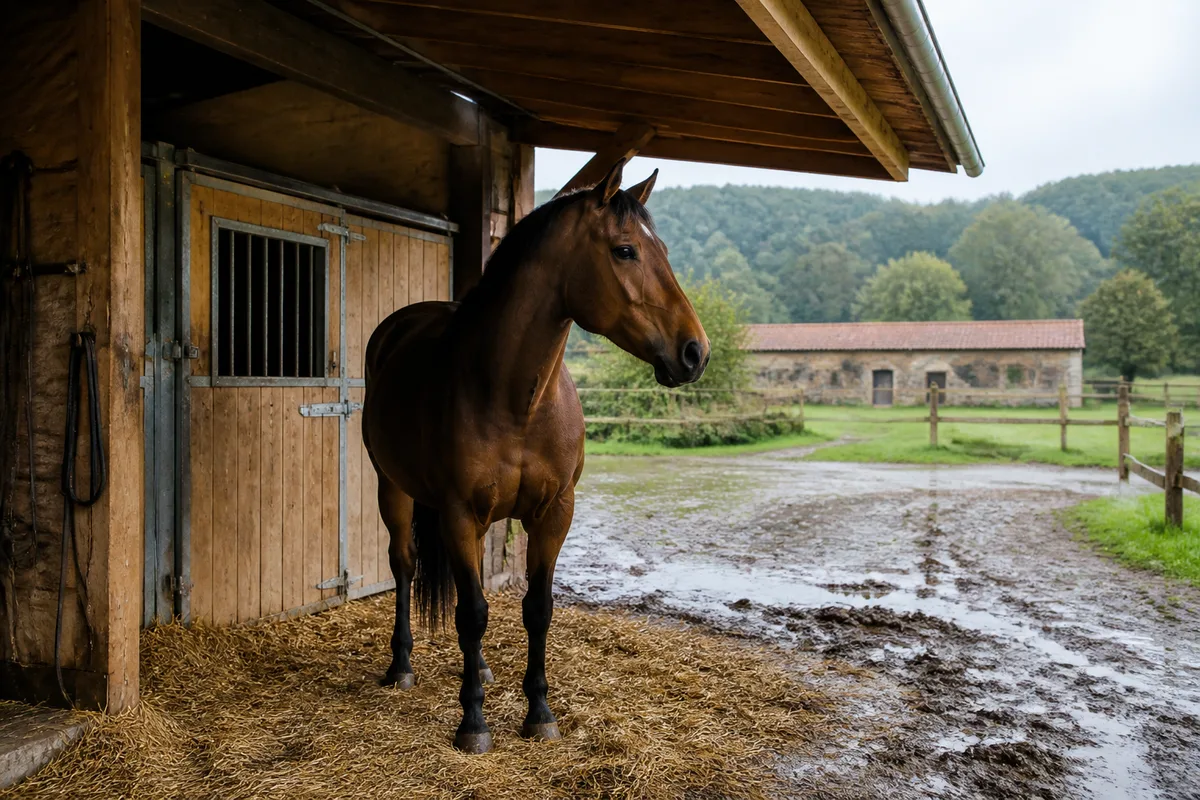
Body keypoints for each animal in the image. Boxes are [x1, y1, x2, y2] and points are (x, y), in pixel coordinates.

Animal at [361, 158, 709, 754]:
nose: (695, 352)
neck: (515, 400)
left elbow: (537, 610)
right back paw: (402, 665)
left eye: (660, 247)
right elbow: (473, 613)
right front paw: (474, 723)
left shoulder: (554, 513)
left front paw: (540, 713)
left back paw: (477, 670)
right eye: (625, 250)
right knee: (404, 566)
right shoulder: (457, 513)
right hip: (393, 487)